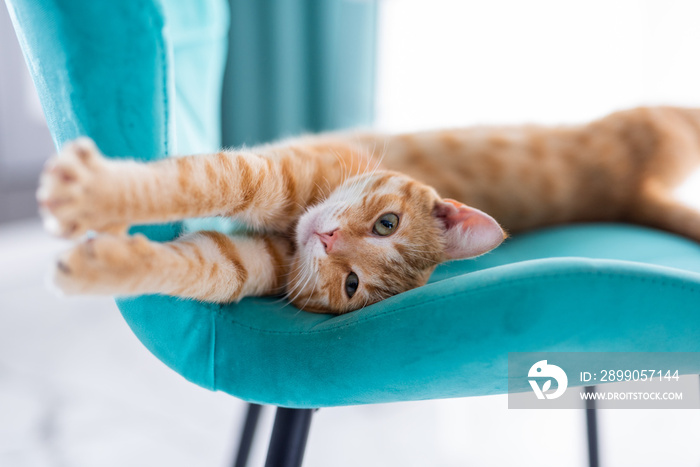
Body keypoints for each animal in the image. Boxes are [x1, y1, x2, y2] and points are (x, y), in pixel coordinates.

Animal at [37, 107, 700, 314]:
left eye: (352, 283)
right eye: (388, 224)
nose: (327, 240)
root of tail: (631, 193)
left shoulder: (250, 262)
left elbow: (200, 265)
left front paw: (97, 265)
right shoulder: (266, 173)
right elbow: (197, 180)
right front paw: (96, 194)